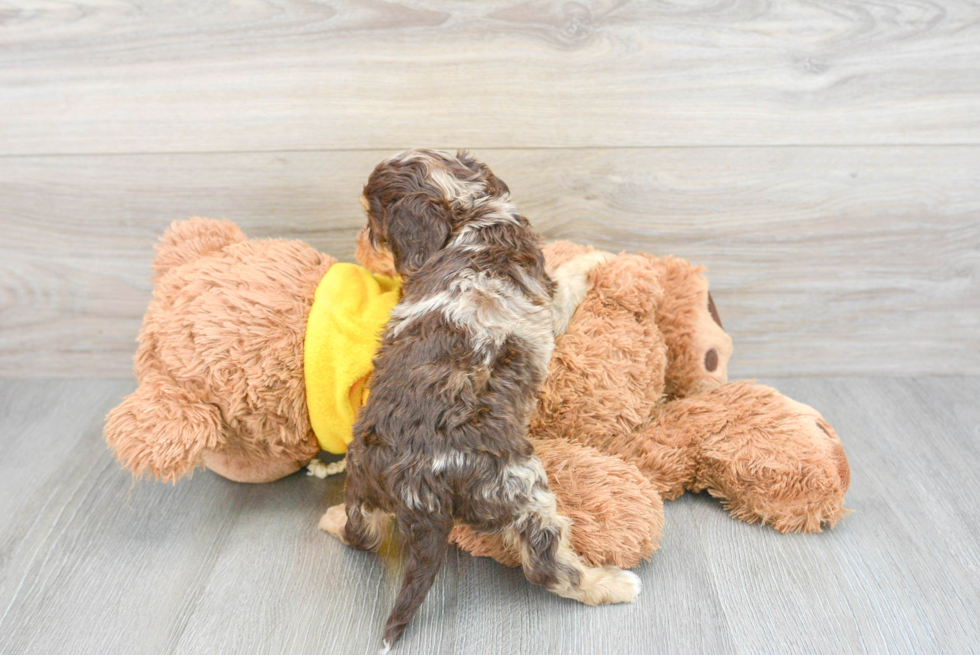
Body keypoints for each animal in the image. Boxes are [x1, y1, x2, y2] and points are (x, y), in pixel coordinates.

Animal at [322, 150, 644, 652]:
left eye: (373, 223)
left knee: (365, 535)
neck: (468, 208)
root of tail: (417, 486)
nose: (358, 242)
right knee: (545, 563)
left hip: (363, 473)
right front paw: (593, 256)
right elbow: (568, 279)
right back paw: (610, 584)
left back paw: (333, 520)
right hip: (517, 484)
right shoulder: (547, 300)